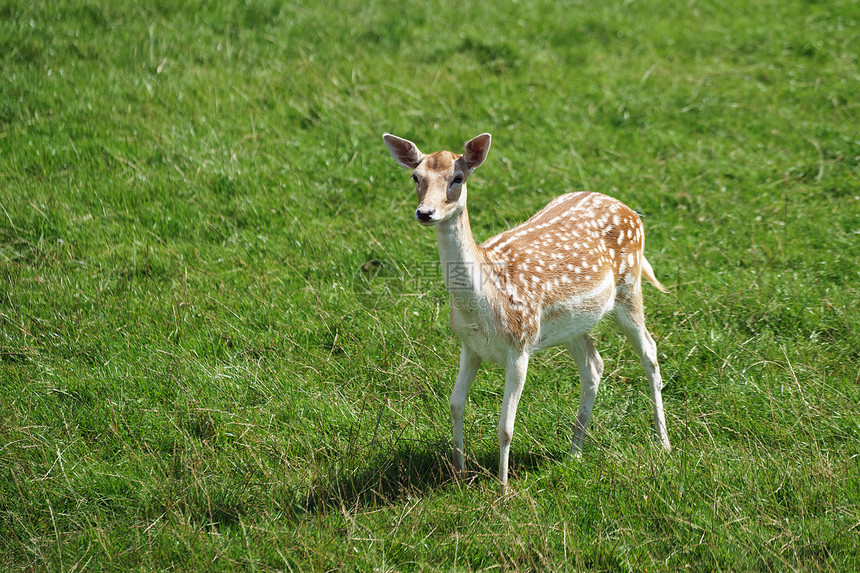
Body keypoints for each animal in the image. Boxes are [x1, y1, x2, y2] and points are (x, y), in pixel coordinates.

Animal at [382, 132, 672, 490]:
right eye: (415, 177)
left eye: (458, 178)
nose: (425, 212)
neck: (485, 303)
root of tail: (629, 210)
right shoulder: (469, 345)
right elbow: (454, 404)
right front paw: (459, 474)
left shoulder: (520, 346)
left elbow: (505, 426)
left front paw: (503, 488)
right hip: (572, 325)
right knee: (594, 365)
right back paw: (575, 451)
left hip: (629, 288)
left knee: (649, 351)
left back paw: (663, 443)